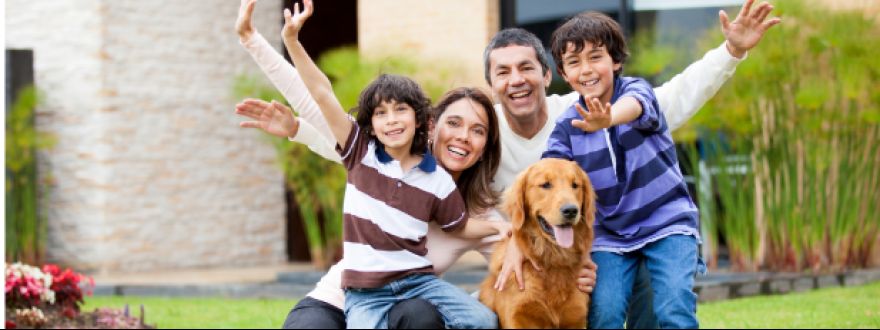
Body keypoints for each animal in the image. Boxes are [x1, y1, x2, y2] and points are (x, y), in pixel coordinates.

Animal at [478, 159, 596, 328]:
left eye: (575, 185)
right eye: (545, 185)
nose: (571, 210)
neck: (553, 260)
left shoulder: (577, 317)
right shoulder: (517, 317)